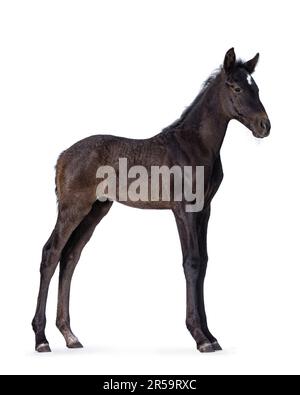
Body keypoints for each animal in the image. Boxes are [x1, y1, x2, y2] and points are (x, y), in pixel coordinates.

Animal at [32, 48, 270, 354]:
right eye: (237, 88)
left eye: (257, 88)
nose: (265, 126)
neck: (194, 145)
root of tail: (63, 156)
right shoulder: (184, 210)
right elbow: (192, 262)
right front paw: (200, 337)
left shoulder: (205, 210)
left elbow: (204, 262)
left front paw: (211, 335)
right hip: (72, 209)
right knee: (51, 254)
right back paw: (41, 339)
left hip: (95, 211)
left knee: (70, 256)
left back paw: (70, 335)